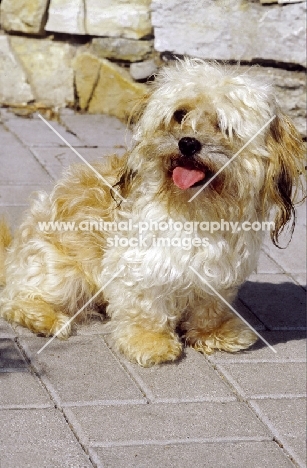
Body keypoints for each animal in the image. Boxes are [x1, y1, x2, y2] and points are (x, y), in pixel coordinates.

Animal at [0, 59, 306, 366]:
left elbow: (210, 307)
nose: (188, 143)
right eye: (179, 114)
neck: (196, 209)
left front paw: (213, 333)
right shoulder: (140, 263)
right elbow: (145, 307)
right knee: (15, 299)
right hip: (62, 272)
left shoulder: (220, 272)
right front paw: (149, 341)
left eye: (223, 124)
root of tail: (14, 254)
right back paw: (47, 319)